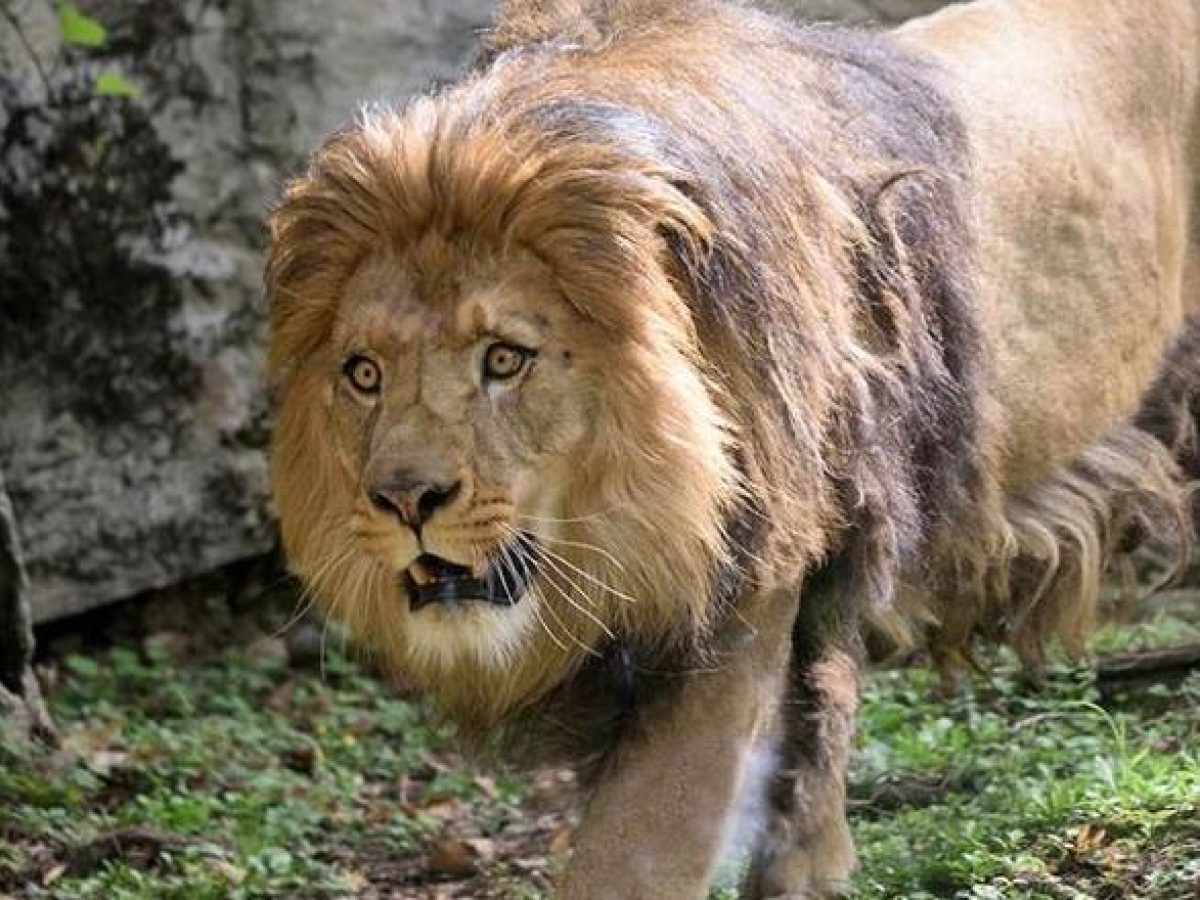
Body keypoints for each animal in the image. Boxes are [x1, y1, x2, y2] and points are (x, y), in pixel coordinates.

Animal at [265, 0, 1199, 897]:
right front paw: (812, 868)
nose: (403, 500)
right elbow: (817, 717)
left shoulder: (744, 594)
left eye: (504, 358)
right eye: (363, 373)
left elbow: (633, 855)